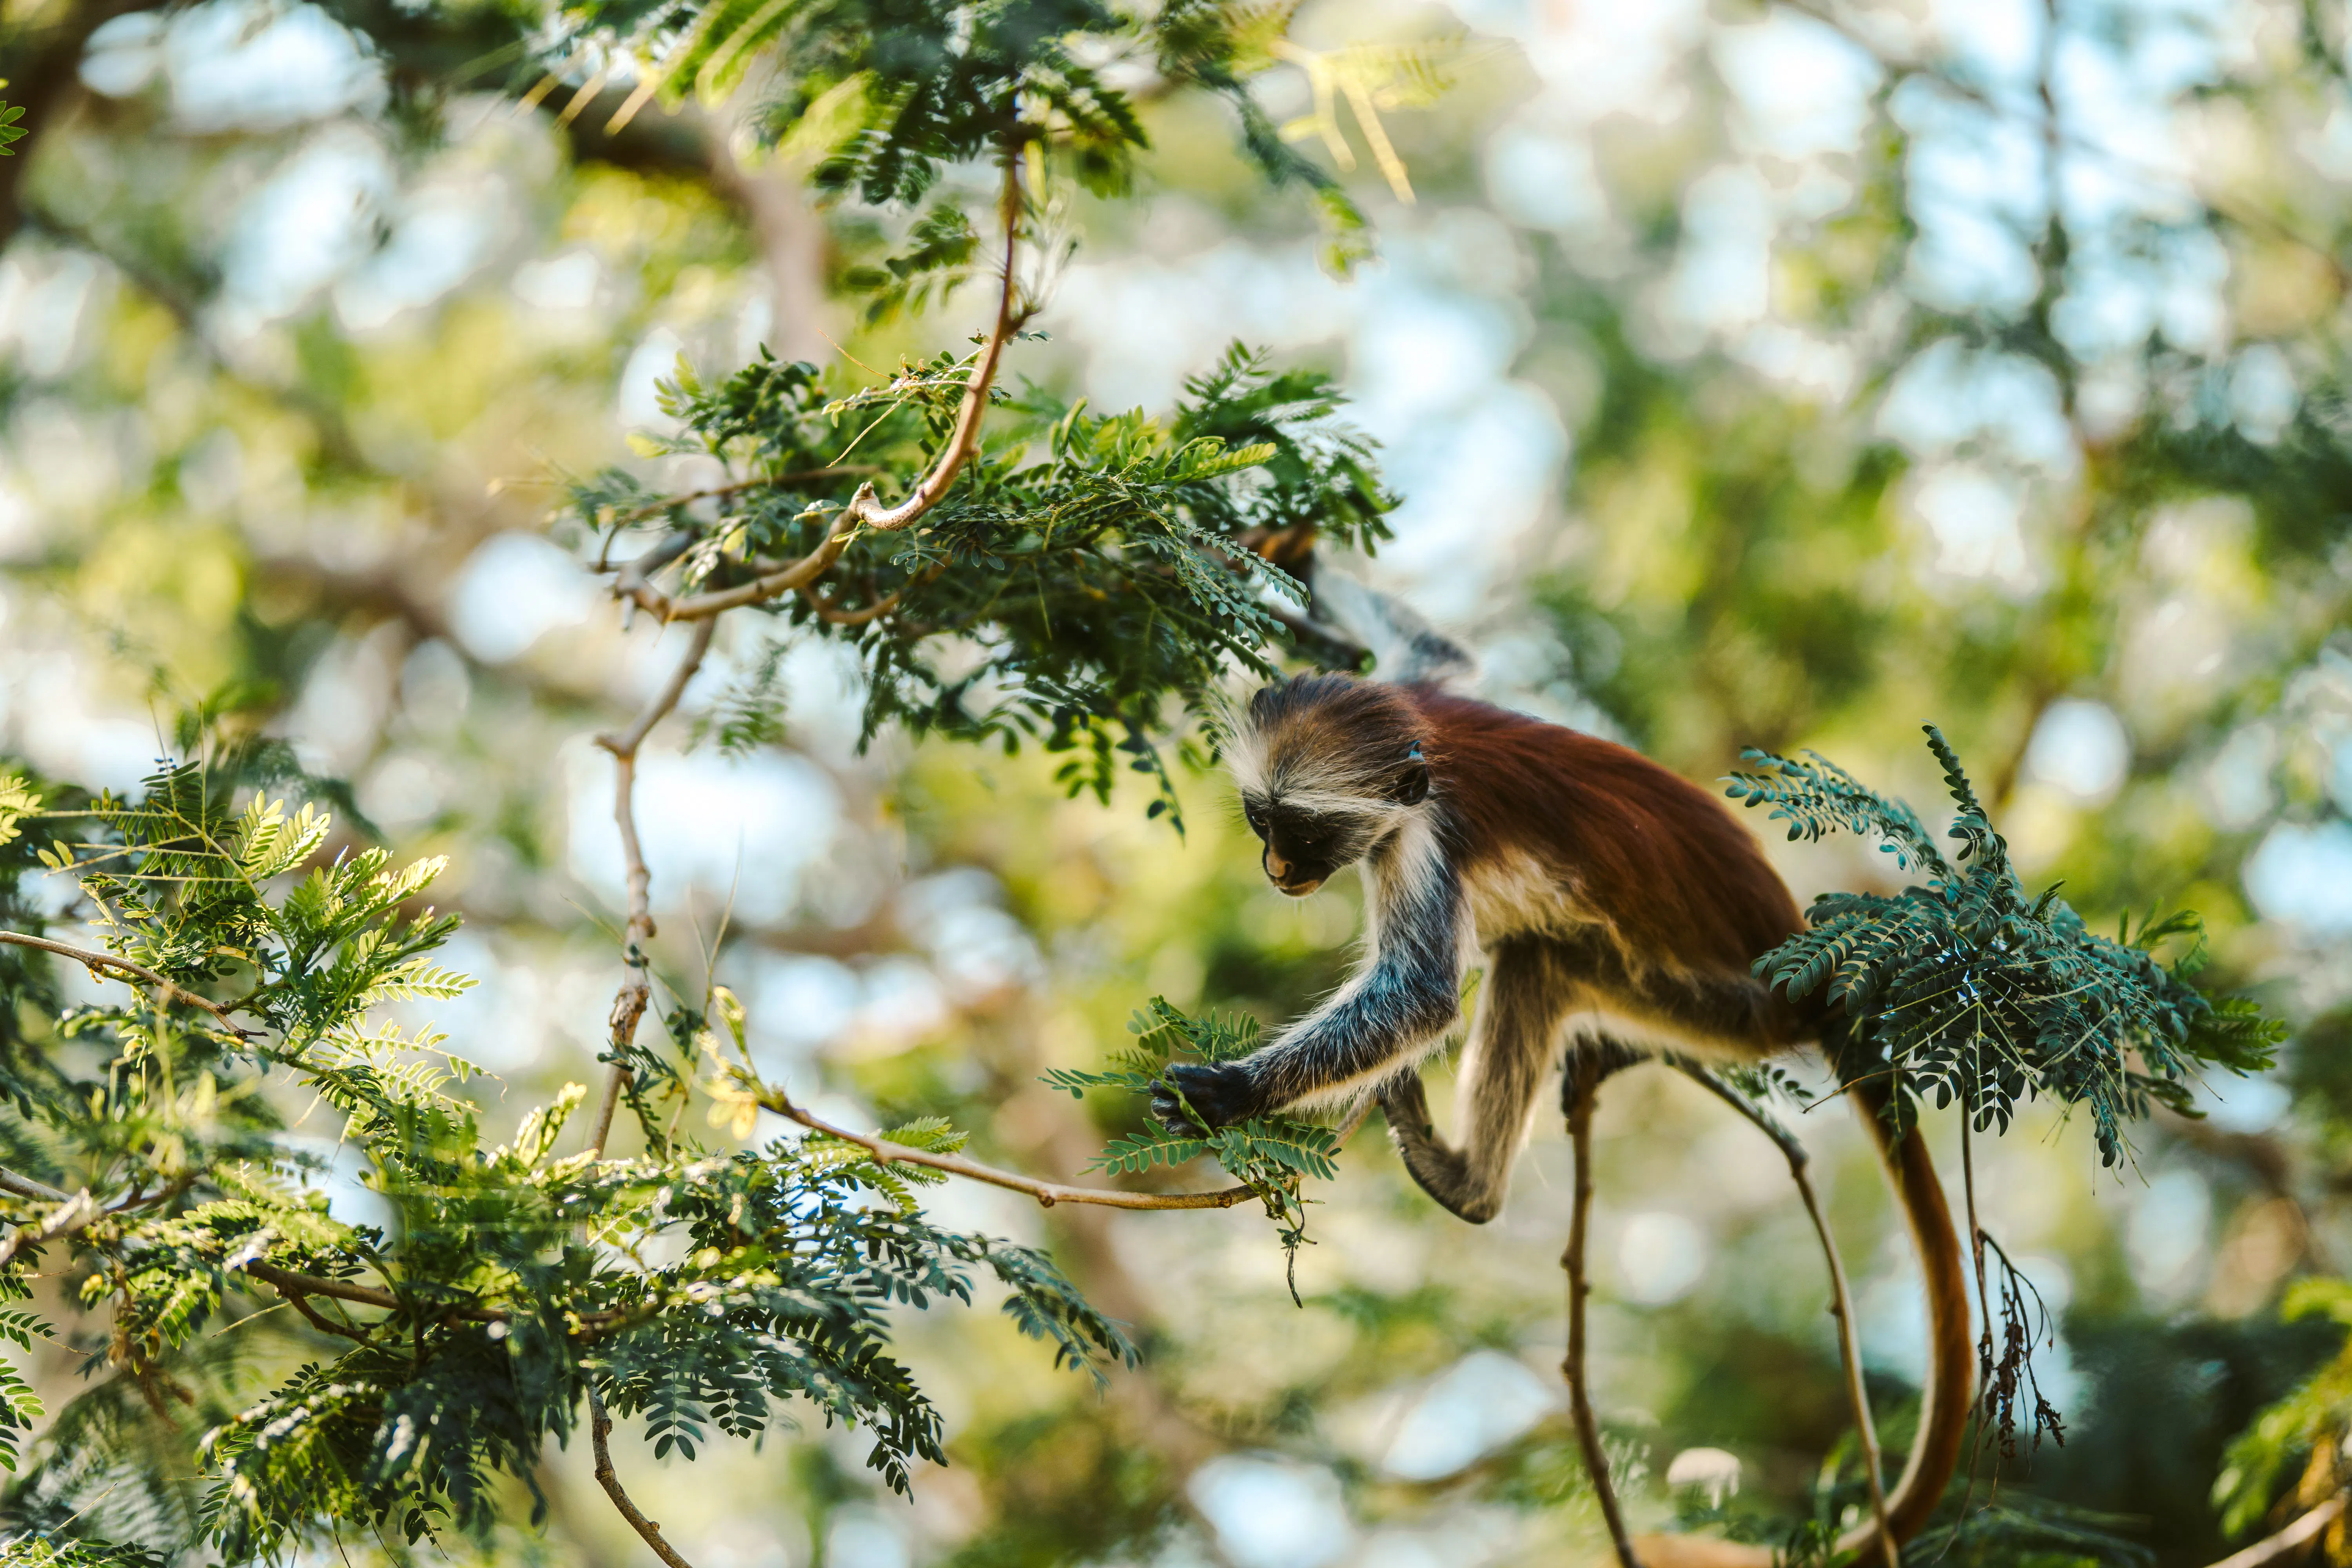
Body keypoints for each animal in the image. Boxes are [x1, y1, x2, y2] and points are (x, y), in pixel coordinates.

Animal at [1147, 565, 1972, 1567]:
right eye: (1259, 819)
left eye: (1300, 835)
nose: (1275, 868)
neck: (1428, 759)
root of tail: (1810, 977)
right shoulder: (1418, 697)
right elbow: (1444, 651)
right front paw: (1298, 566)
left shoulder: (1423, 839)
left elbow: (1422, 999)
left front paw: (1228, 1090)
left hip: (1717, 1003)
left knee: (1535, 960)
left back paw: (1468, 1183)